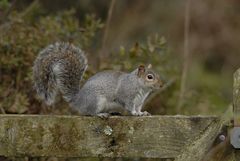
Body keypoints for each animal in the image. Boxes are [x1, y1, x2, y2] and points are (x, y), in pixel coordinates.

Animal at [32, 42, 163, 116]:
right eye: (150, 77)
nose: (161, 85)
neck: (140, 86)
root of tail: (79, 100)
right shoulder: (126, 95)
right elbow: (129, 105)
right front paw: (135, 113)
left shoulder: (140, 101)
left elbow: (138, 107)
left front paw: (142, 113)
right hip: (96, 100)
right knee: (90, 112)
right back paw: (101, 114)